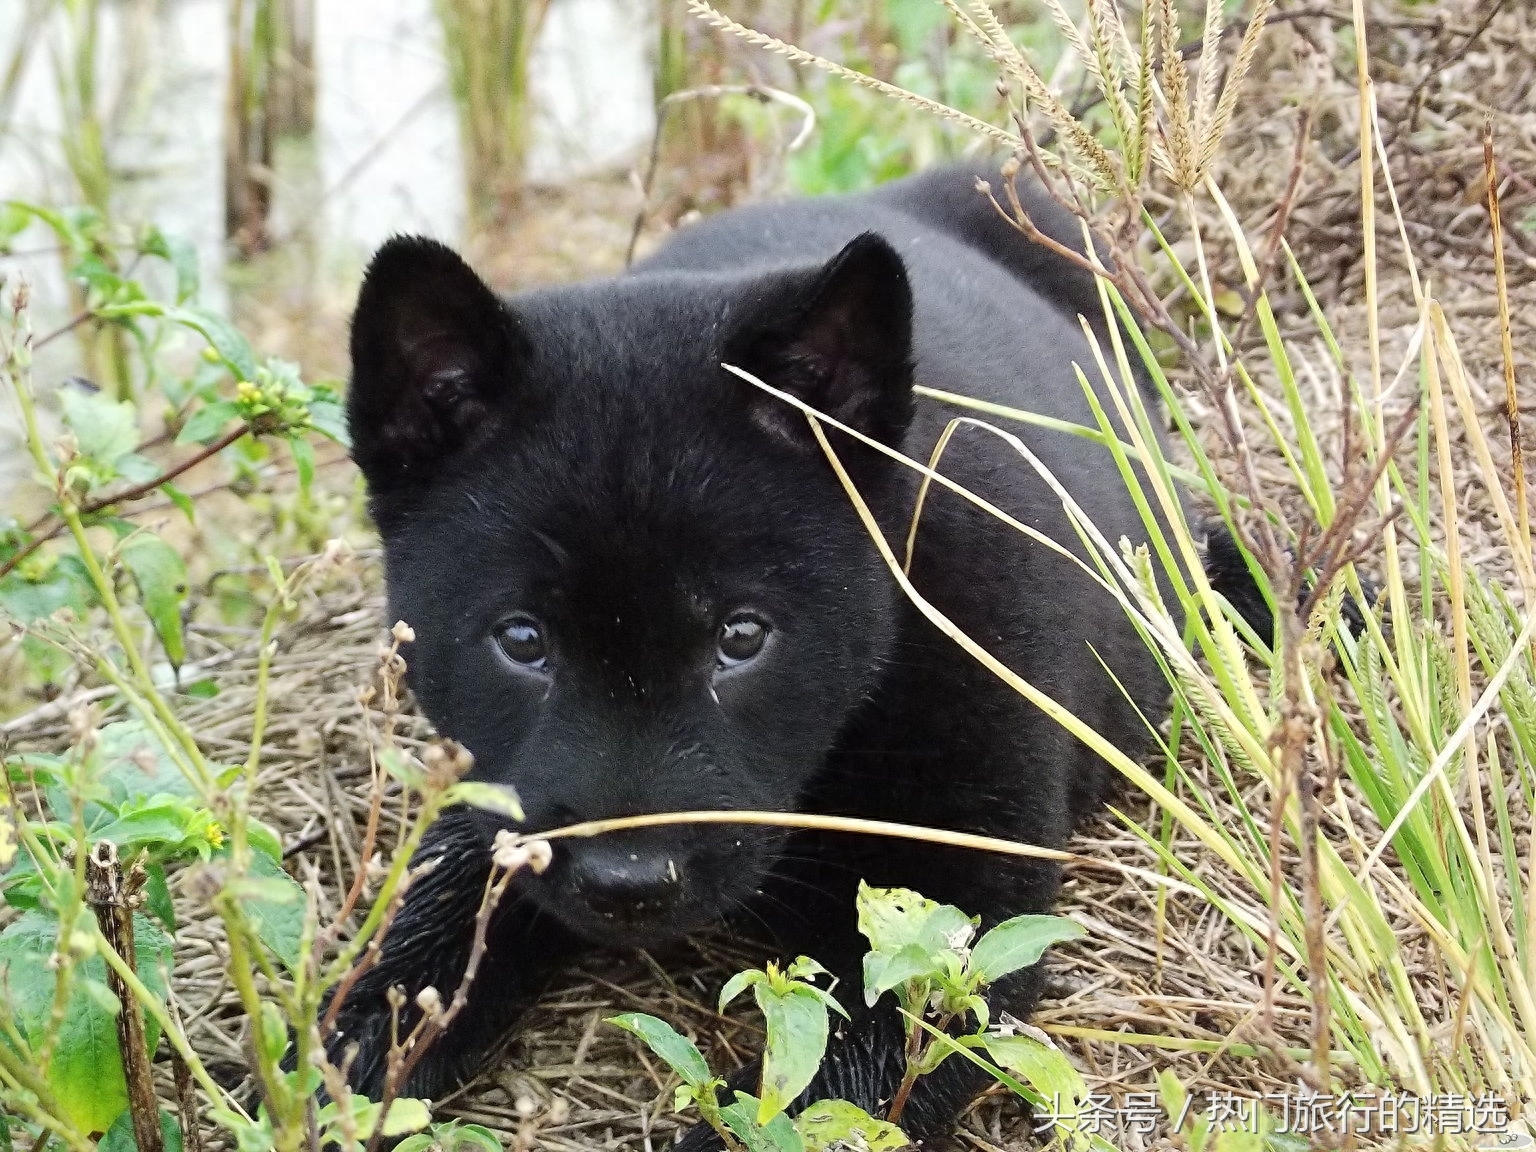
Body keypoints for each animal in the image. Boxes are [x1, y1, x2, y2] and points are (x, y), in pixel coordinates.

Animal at [333, 164, 1173, 1148]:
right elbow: (439, 914)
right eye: (522, 640)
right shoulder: (496, 797)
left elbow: (844, 1084)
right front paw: (345, 1053)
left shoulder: (968, 897)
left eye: (741, 637)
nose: (628, 884)